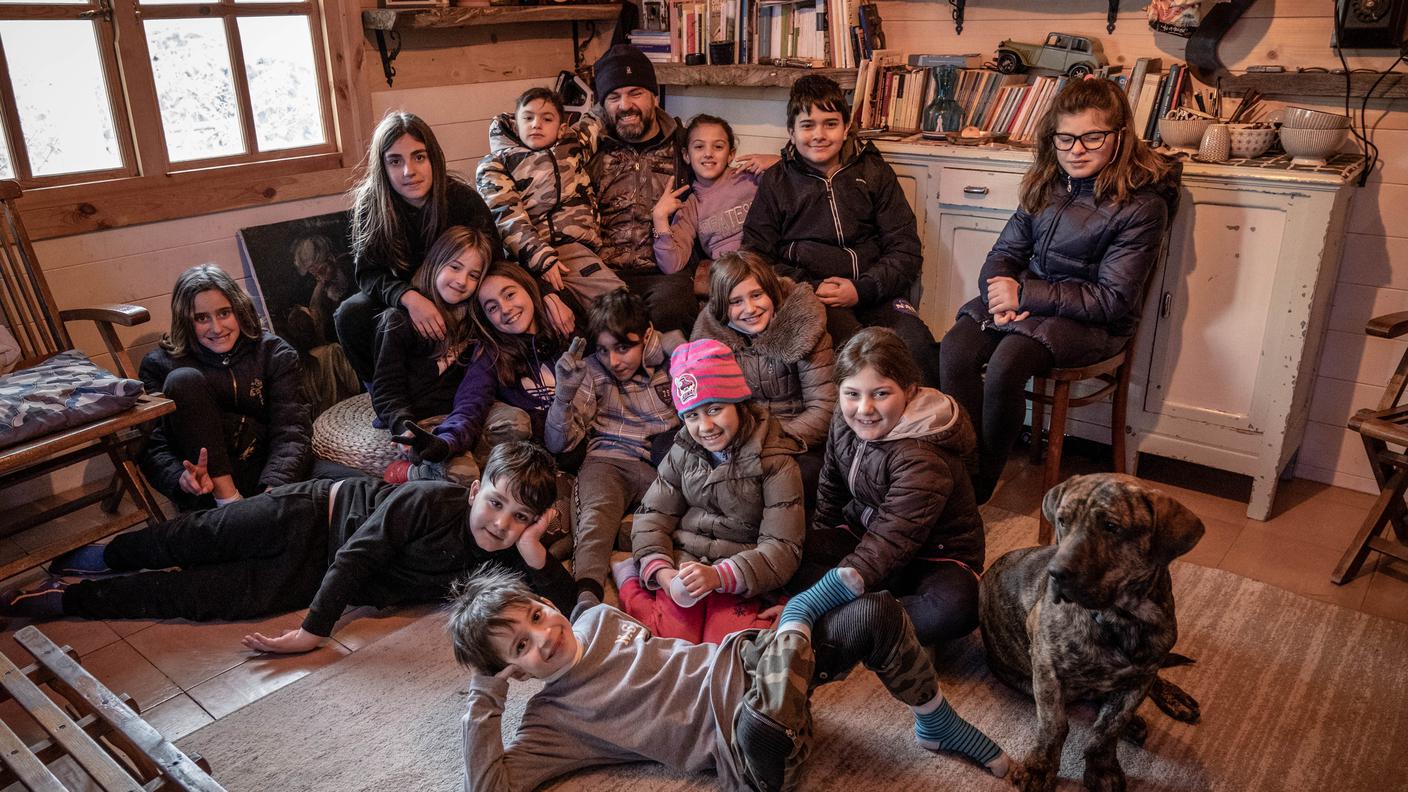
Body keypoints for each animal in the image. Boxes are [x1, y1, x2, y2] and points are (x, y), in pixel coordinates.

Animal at [979, 470, 1199, 783]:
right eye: (1062, 521)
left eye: (1111, 527)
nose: (1055, 573)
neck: (1121, 619)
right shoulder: (1046, 669)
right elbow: (1055, 725)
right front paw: (1039, 767)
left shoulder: (1139, 680)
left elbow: (1108, 729)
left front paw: (1103, 768)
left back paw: (1170, 700)